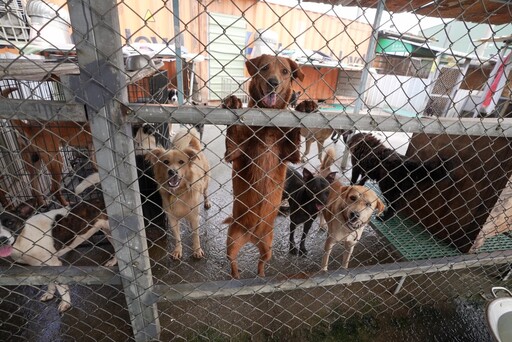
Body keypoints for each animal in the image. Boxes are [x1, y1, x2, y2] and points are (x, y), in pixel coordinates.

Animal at [0, 174, 112, 312]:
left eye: (10, 222)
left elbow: (61, 287)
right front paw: (49, 294)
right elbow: (49, 283)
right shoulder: (42, 268)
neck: (25, 238)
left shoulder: (54, 265)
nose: (2, 239)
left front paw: (66, 303)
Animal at [147, 128, 211, 260]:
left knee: (206, 192)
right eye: (165, 162)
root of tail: (195, 148)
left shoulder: (194, 216)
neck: (178, 193)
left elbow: (196, 236)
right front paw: (177, 250)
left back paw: (207, 202)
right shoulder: (172, 219)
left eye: (181, 162)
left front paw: (197, 250)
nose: (172, 172)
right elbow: (177, 238)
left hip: (206, 181)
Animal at [224, 53, 320, 278]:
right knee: (233, 262)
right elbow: (233, 132)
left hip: (267, 246)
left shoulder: (291, 153)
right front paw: (232, 100)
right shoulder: (233, 152)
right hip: (231, 241)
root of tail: (252, 237)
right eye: (264, 68)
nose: (273, 83)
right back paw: (236, 275)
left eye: (285, 71)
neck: (267, 124)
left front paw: (305, 105)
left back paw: (260, 275)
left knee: (261, 262)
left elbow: (294, 130)